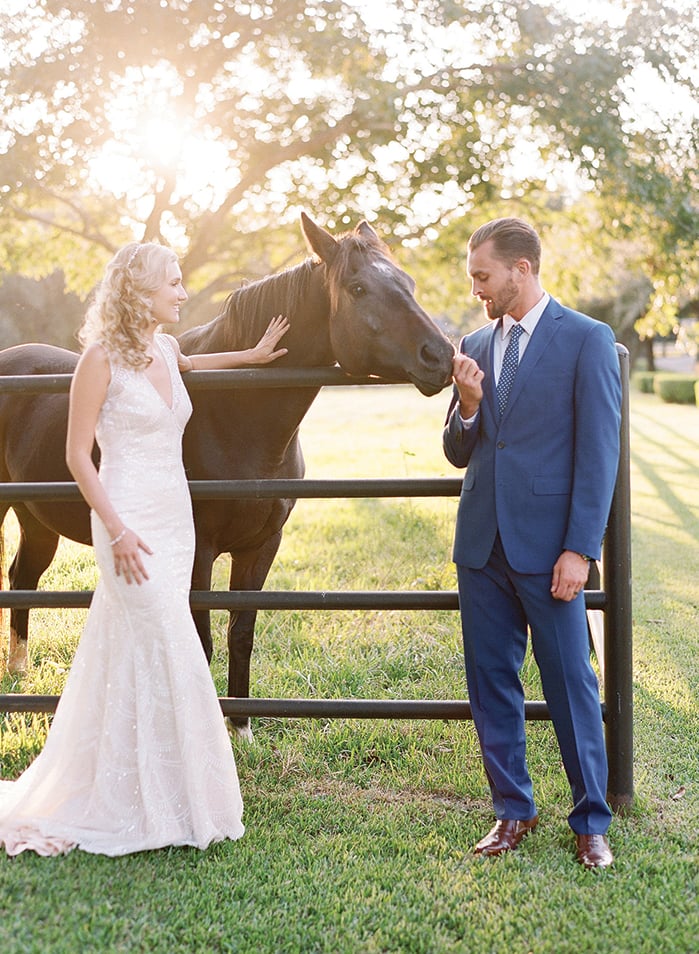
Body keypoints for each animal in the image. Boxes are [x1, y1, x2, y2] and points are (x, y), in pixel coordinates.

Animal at [0, 212, 456, 732]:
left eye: (409, 283)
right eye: (358, 289)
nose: (440, 356)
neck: (235, 411)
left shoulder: (261, 546)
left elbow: (242, 632)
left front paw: (240, 723)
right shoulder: (199, 550)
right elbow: (202, 638)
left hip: (38, 521)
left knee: (23, 576)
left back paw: (19, 672)